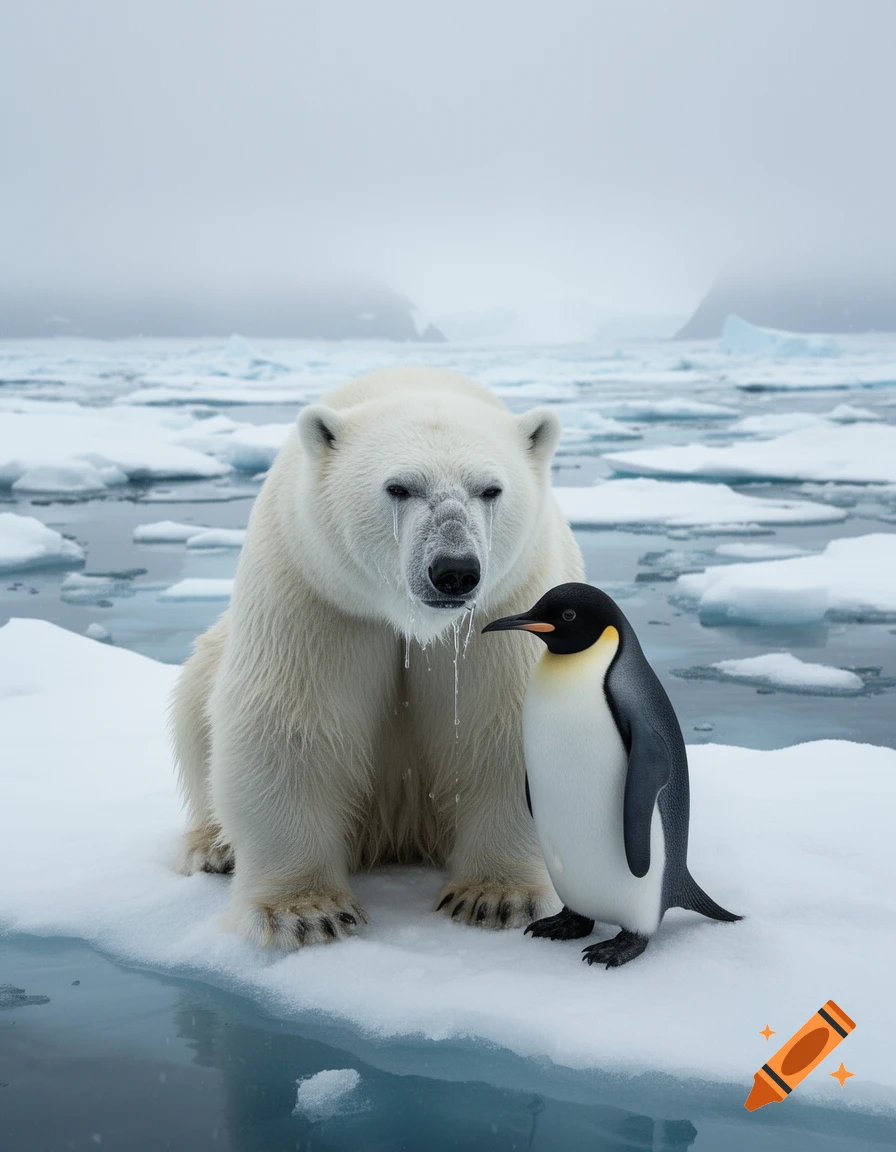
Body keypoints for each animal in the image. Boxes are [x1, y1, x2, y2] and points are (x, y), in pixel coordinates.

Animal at [171, 366, 584, 949]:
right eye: (399, 487)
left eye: (490, 489)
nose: (454, 570)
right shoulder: (318, 593)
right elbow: (289, 723)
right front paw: (305, 912)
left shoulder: (511, 601)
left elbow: (506, 728)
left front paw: (495, 898)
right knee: (196, 699)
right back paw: (213, 847)